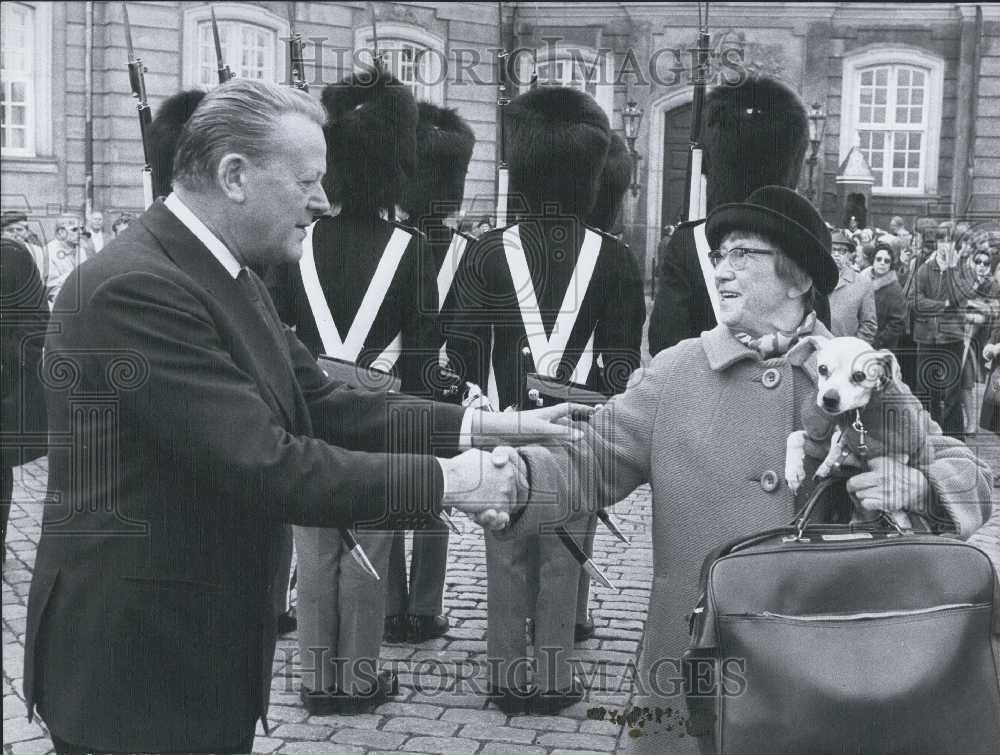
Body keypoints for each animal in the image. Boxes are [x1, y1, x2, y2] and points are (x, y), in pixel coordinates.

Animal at [784, 340, 924, 528]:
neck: (849, 417)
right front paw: (793, 473)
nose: (829, 398)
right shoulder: (820, 446)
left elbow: (839, 440)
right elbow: (794, 437)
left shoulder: (896, 455)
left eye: (859, 376)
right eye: (822, 369)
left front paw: (828, 462)